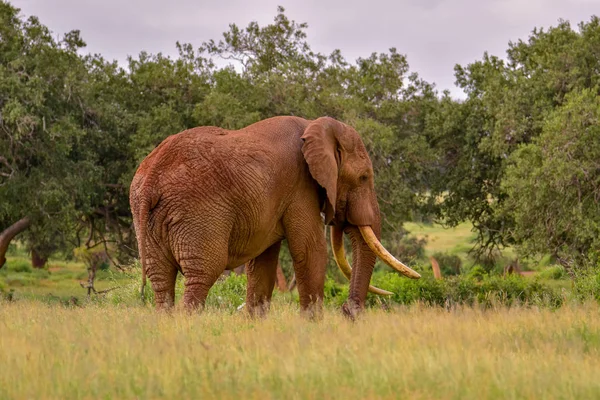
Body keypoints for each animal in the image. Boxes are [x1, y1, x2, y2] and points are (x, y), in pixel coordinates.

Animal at [130, 115, 422, 318]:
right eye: (363, 178)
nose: (349, 311)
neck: (314, 127)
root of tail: (151, 177)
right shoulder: (300, 186)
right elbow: (310, 251)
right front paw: (313, 327)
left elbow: (263, 264)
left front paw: (254, 324)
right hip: (197, 214)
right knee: (202, 274)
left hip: (149, 219)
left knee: (161, 279)